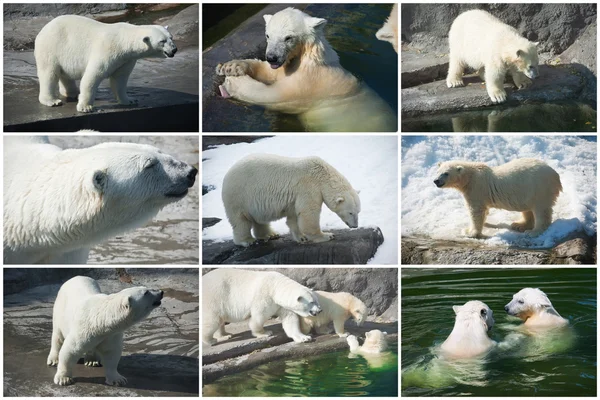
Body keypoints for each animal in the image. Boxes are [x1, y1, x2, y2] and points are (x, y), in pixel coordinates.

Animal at [34, 15, 177, 112]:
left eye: (171, 37)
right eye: (162, 41)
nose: (174, 49)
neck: (123, 41)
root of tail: (44, 28)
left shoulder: (125, 59)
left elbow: (120, 80)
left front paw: (129, 100)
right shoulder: (107, 50)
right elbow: (92, 76)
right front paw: (85, 107)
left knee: (65, 74)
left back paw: (72, 92)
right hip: (51, 47)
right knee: (49, 73)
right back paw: (52, 101)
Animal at [216, 7, 398, 133]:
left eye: (288, 37)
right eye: (268, 35)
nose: (272, 57)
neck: (309, 58)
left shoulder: (309, 83)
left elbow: (276, 95)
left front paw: (234, 82)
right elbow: (269, 72)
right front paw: (230, 67)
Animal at [221, 153, 358, 247]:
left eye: (358, 211)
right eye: (351, 212)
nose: (355, 226)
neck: (321, 174)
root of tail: (227, 175)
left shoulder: (295, 197)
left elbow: (294, 216)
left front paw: (301, 237)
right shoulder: (308, 187)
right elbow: (308, 213)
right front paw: (327, 235)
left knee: (259, 219)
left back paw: (270, 234)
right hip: (239, 196)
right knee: (241, 220)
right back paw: (248, 241)